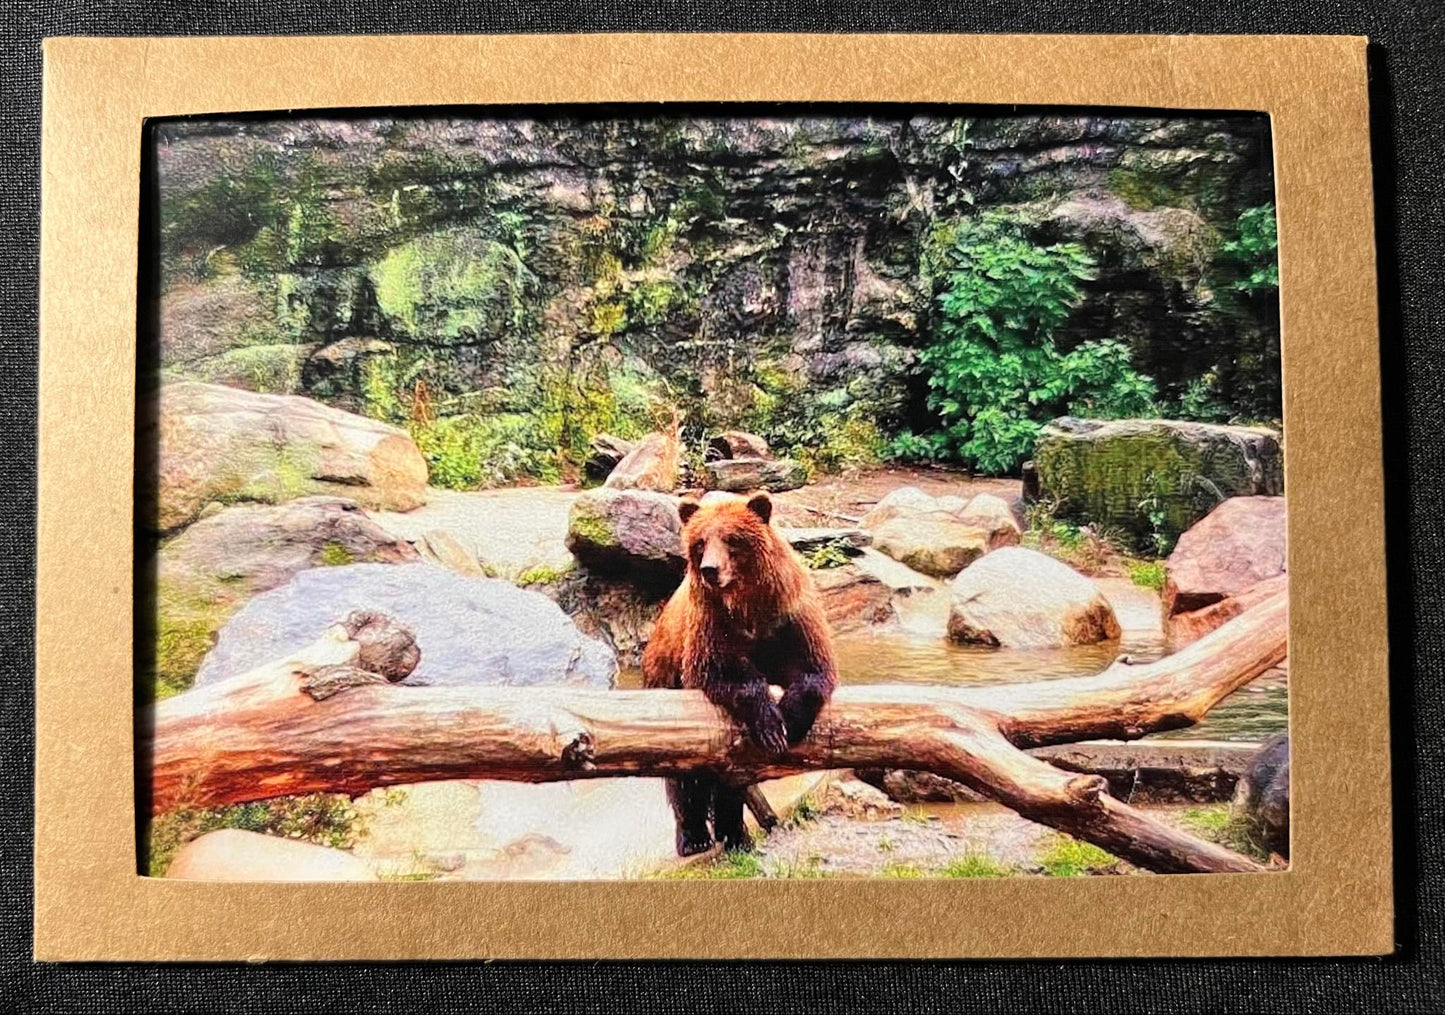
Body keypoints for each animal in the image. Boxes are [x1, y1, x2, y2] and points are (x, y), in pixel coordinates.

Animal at [642, 490, 837, 856]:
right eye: (701, 542)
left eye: (732, 539)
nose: (710, 569)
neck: (748, 608)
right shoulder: (712, 627)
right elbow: (722, 672)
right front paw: (771, 724)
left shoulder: (789, 617)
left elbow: (813, 669)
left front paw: (790, 720)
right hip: (667, 686)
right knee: (687, 777)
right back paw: (694, 836)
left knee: (732, 779)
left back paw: (735, 833)